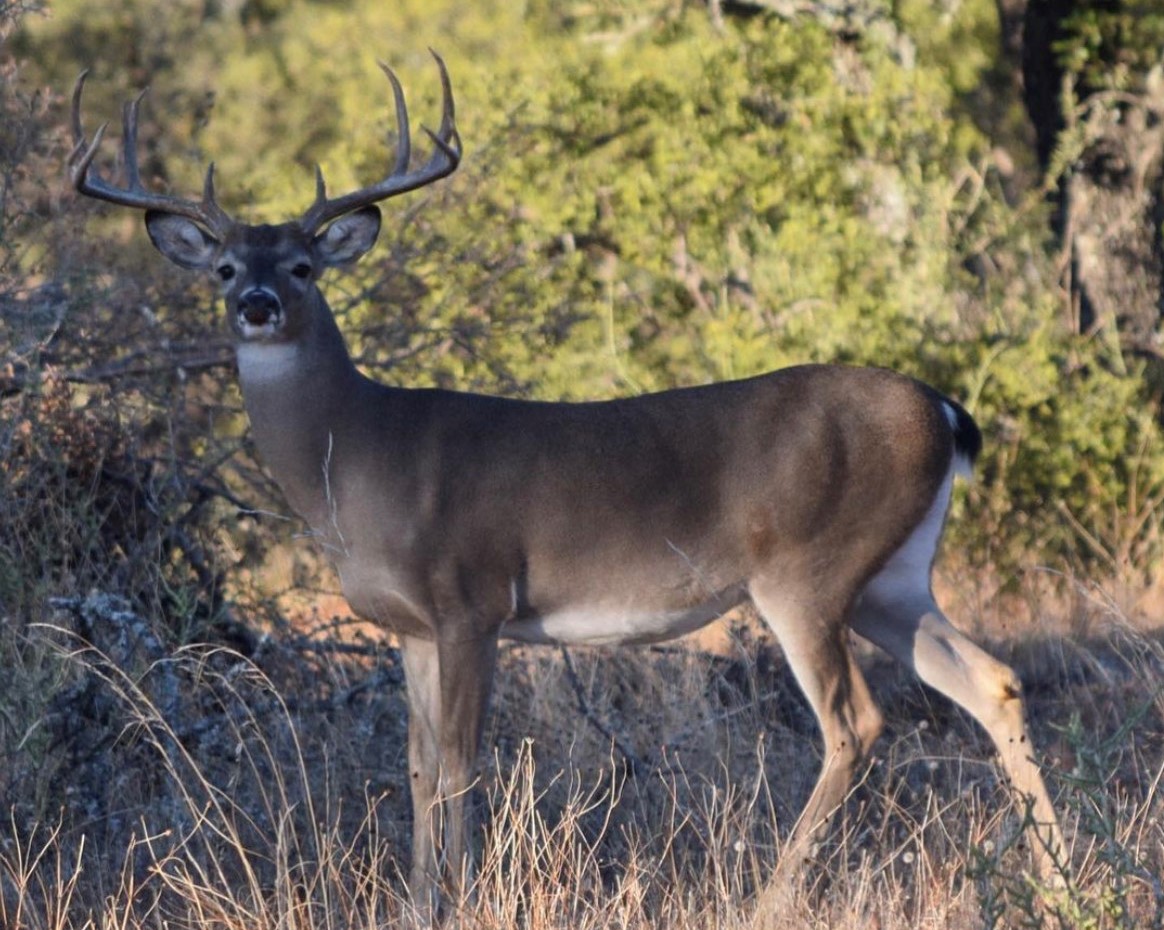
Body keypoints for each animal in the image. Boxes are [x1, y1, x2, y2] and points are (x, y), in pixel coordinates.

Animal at [66, 54, 1066, 921]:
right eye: (227, 265)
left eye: (305, 266)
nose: (258, 305)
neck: (358, 457)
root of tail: (942, 410)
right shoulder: (407, 627)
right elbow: (418, 767)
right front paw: (416, 902)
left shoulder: (470, 596)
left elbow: (461, 762)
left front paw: (460, 900)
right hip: (892, 577)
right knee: (994, 682)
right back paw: (1057, 882)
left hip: (807, 571)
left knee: (855, 723)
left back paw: (770, 900)